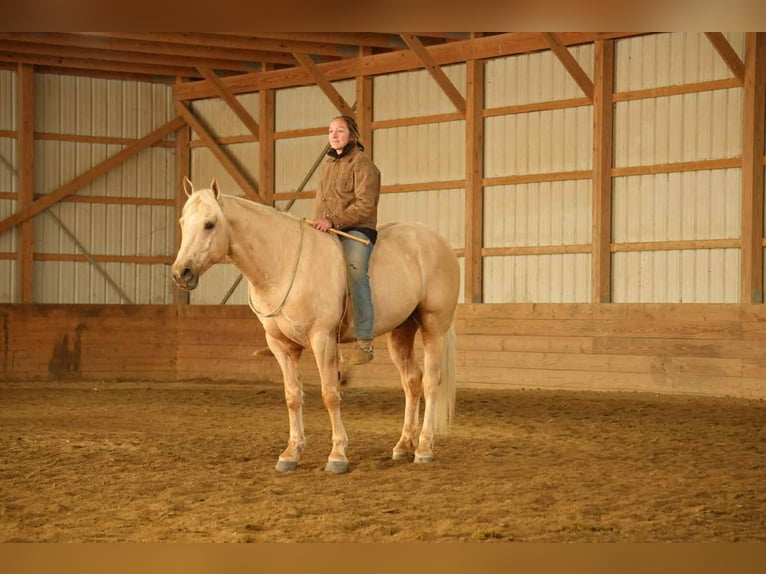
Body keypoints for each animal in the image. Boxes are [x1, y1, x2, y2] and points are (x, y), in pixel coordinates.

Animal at [171, 178, 460, 474]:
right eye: (182, 222)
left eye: (209, 224)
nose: (181, 273)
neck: (282, 262)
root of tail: (438, 242)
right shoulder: (281, 345)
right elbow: (292, 395)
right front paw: (291, 453)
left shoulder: (322, 340)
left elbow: (329, 394)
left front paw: (337, 455)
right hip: (401, 331)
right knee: (411, 382)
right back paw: (403, 446)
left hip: (434, 326)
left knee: (430, 383)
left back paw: (424, 448)